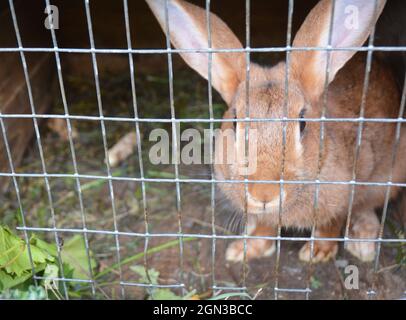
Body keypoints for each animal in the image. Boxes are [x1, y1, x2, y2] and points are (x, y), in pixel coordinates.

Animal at [147, 0, 406, 262]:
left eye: (302, 123)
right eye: (235, 121)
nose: (264, 194)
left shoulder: (347, 191)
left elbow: (332, 223)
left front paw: (317, 252)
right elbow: (265, 226)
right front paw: (245, 249)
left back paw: (362, 240)